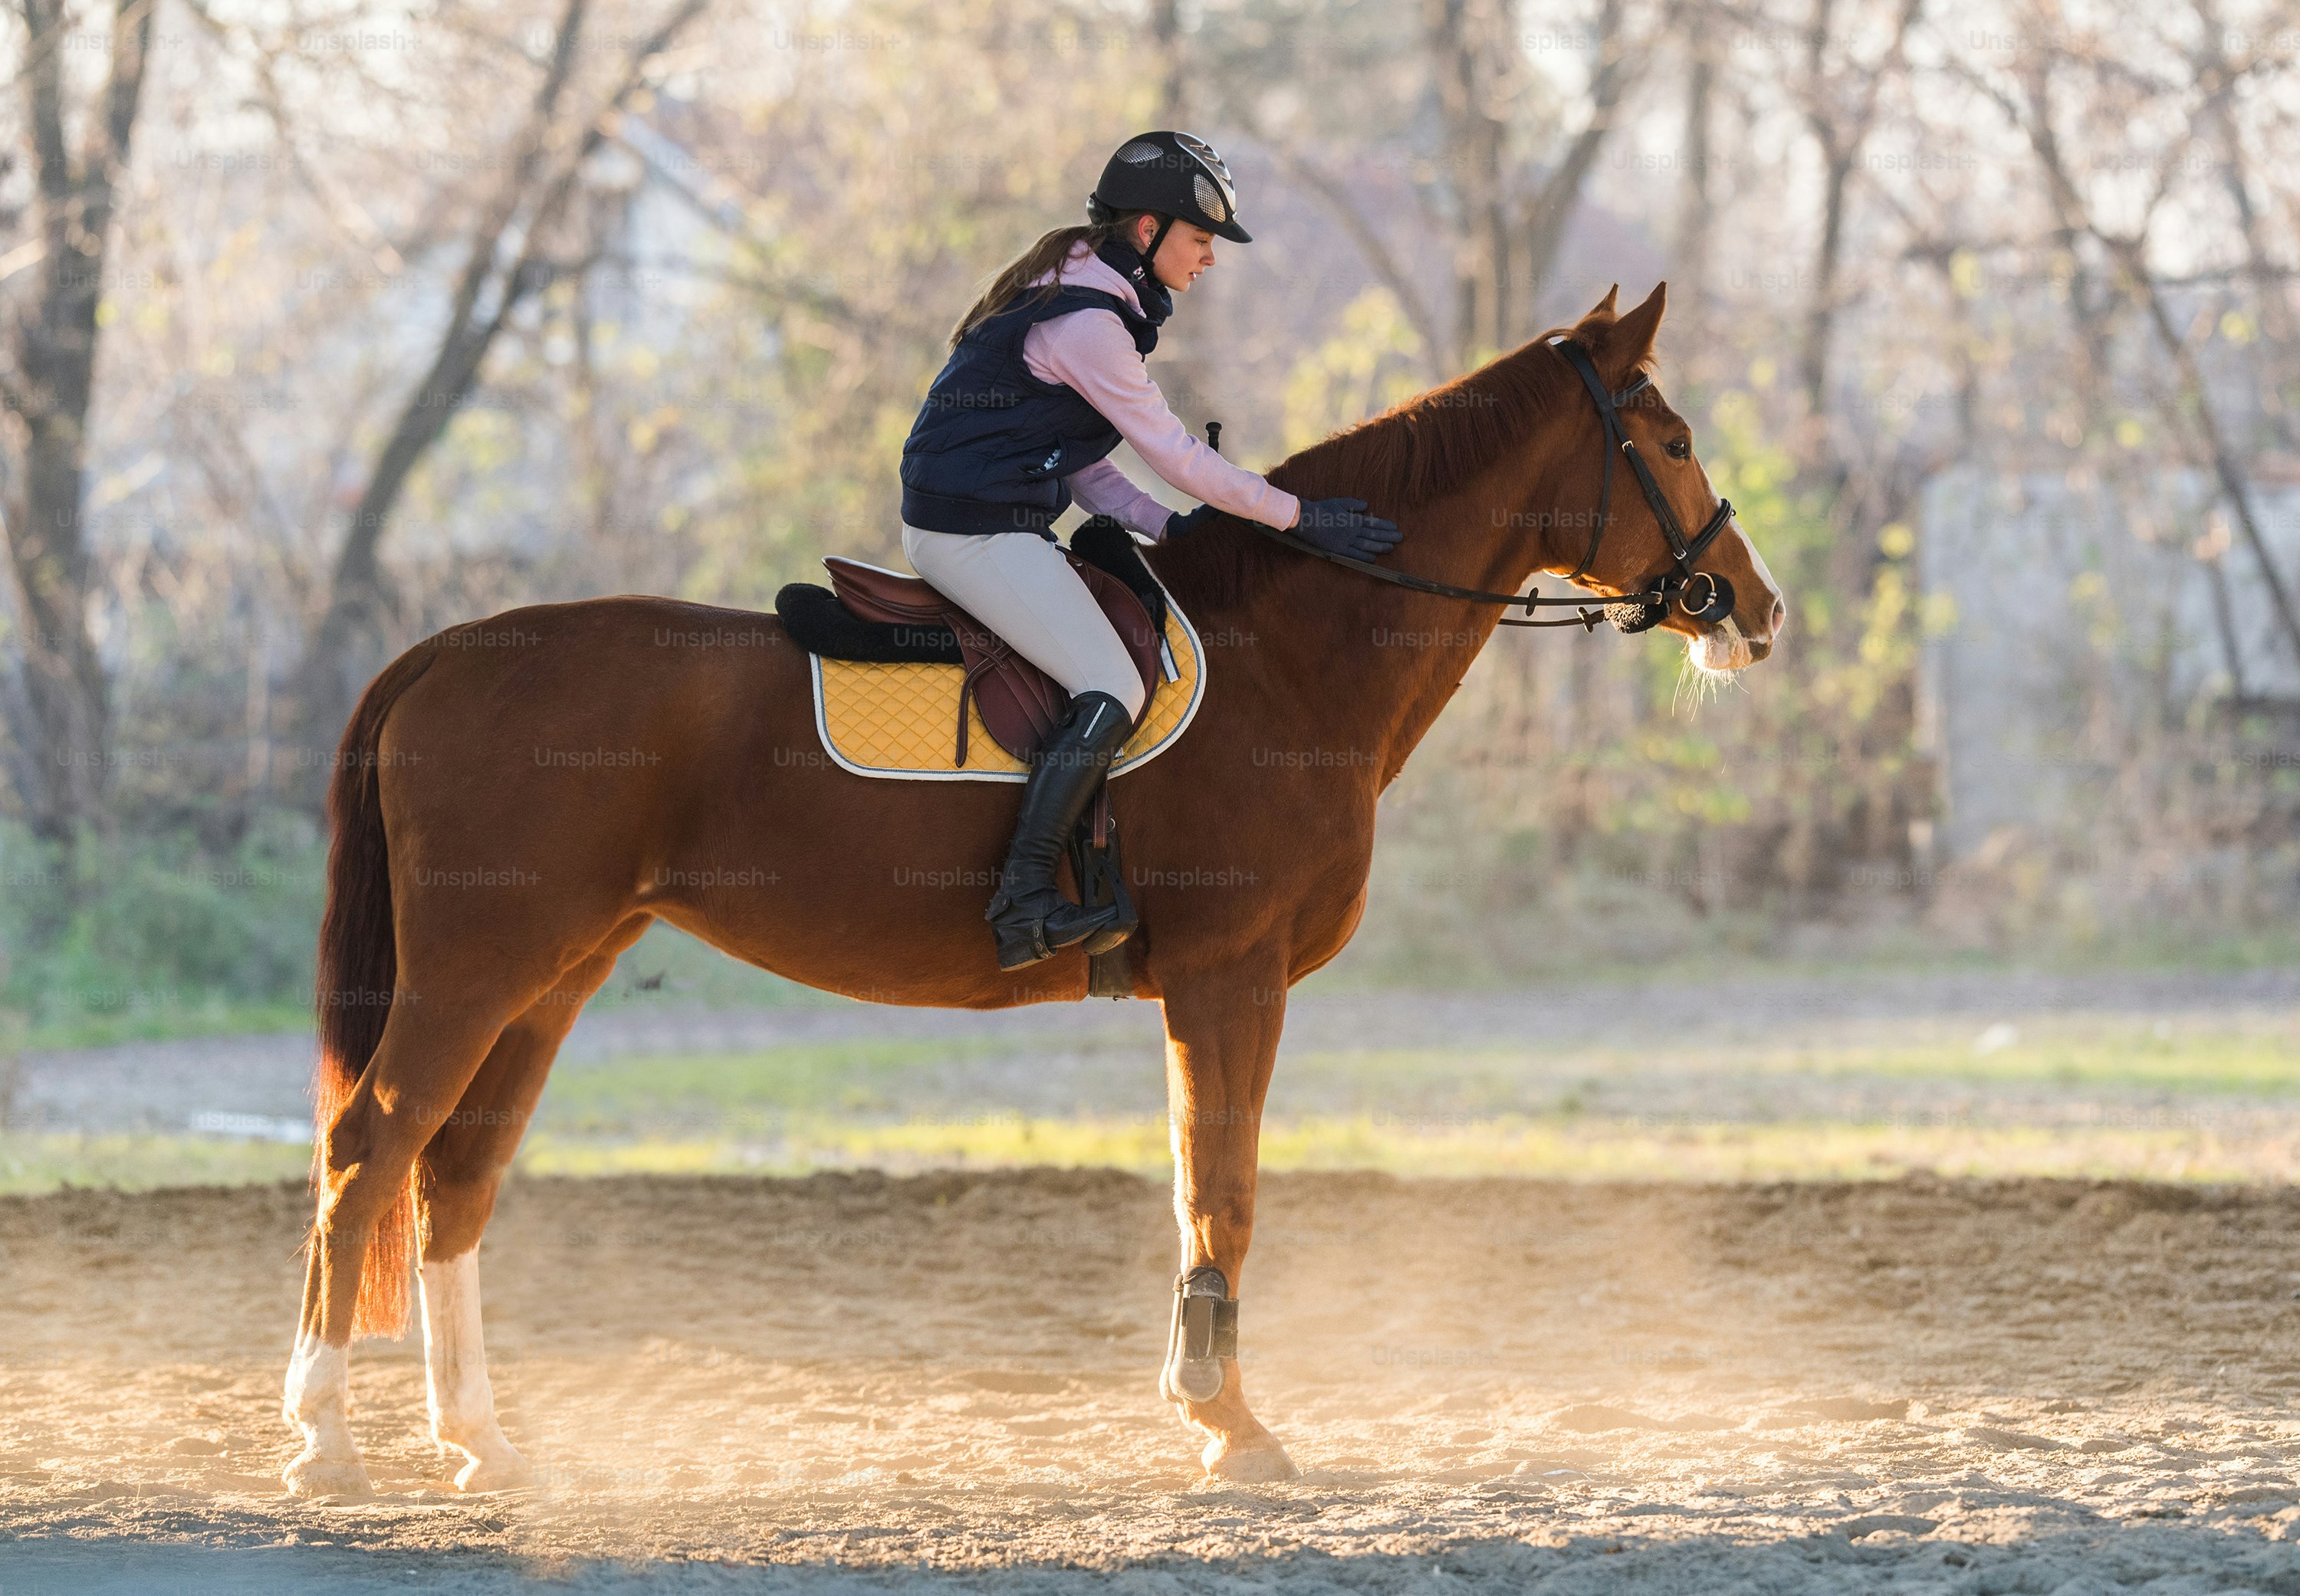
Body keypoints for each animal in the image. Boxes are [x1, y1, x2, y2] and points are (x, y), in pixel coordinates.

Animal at [281, 283, 1785, 1495]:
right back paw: (326, 1441)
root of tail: (448, 649)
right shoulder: (1230, 978)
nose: (1757, 608)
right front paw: (1230, 1425)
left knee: (452, 1179)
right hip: (477, 972)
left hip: (551, 977)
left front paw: (1206, 1407)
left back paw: (481, 1443)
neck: (1287, 651)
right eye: (1668, 440)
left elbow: (1197, 1186)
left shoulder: (1207, 989)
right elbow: (1223, 1192)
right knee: (368, 1152)